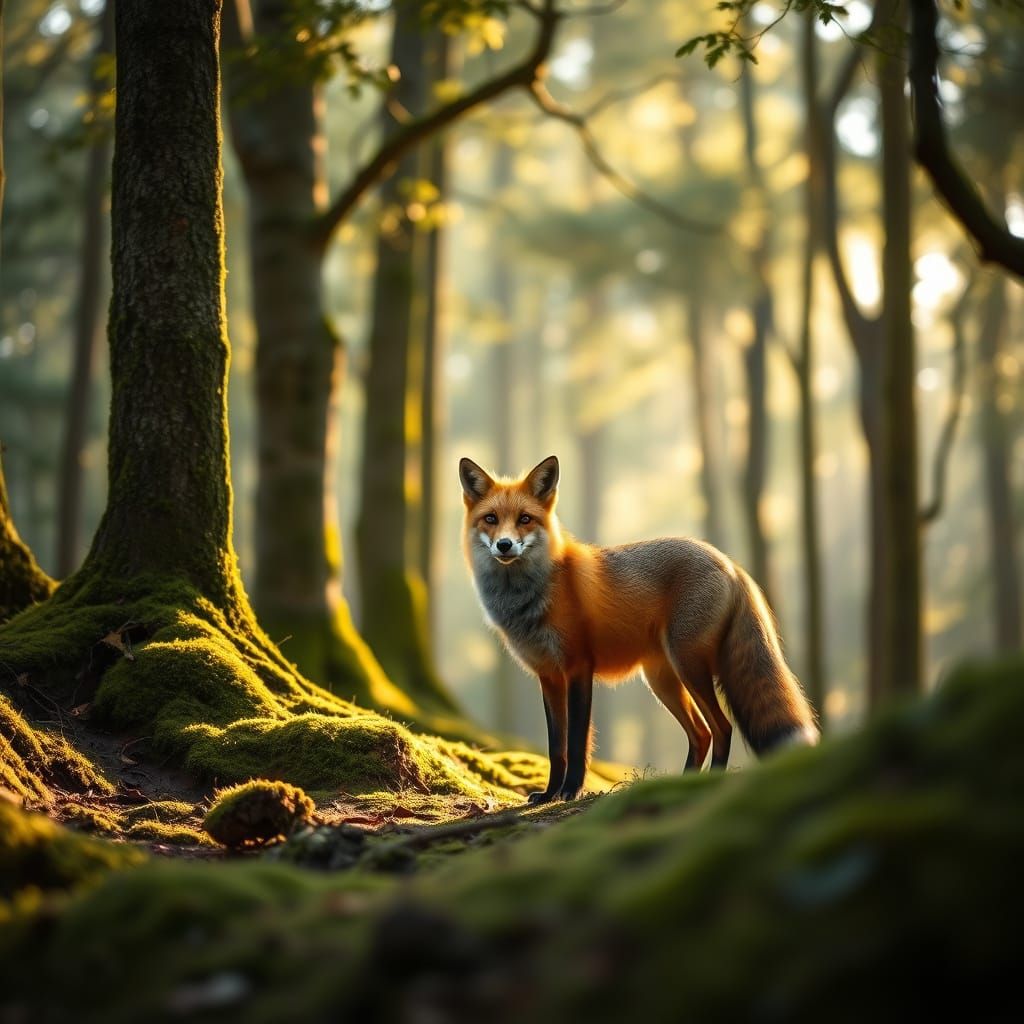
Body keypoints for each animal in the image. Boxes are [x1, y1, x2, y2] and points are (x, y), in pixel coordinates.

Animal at [460, 454, 819, 804]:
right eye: (491, 519)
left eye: (525, 519)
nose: (505, 545)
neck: (532, 595)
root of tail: (728, 561)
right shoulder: (548, 676)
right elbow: (555, 747)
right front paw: (550, 794)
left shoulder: (578, 667)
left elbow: (576, 743)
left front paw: (571, 791)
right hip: (662, 680)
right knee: (701, 733)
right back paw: (680, 782)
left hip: (689, 667)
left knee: (722, 727)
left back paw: (707, 780)